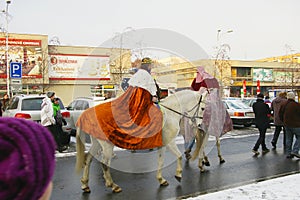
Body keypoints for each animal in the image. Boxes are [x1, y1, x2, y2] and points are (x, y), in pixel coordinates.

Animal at [75, 90, 207, 193]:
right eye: (203, 108)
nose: (200, 125)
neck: (170, 113)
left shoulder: (162, 145)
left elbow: (161, 161)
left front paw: (161, 179)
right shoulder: (170, 142)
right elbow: (179, 156)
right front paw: (178, 174)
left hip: (97, 143)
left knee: (88, 159)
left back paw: (85, 184)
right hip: (107, 146)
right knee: (104, 163)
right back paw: (113, 185)